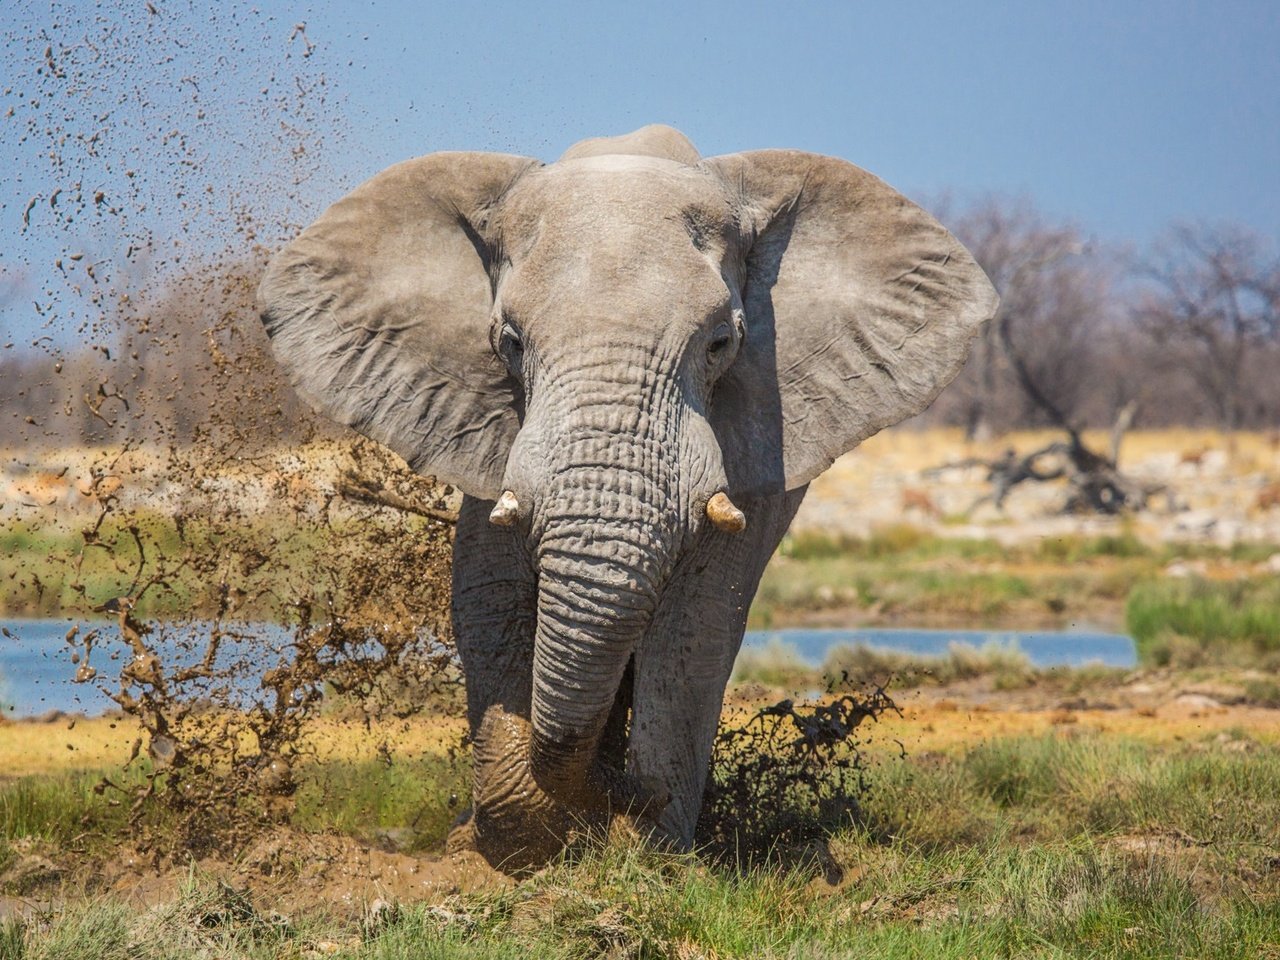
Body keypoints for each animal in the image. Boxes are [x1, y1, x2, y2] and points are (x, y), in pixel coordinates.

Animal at [259, 126, 998, 870]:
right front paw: (517, 840)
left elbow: (699, 621)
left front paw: (647, 847)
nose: (626, 789)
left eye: (722, 342)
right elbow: (488, 593)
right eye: (510, 343)